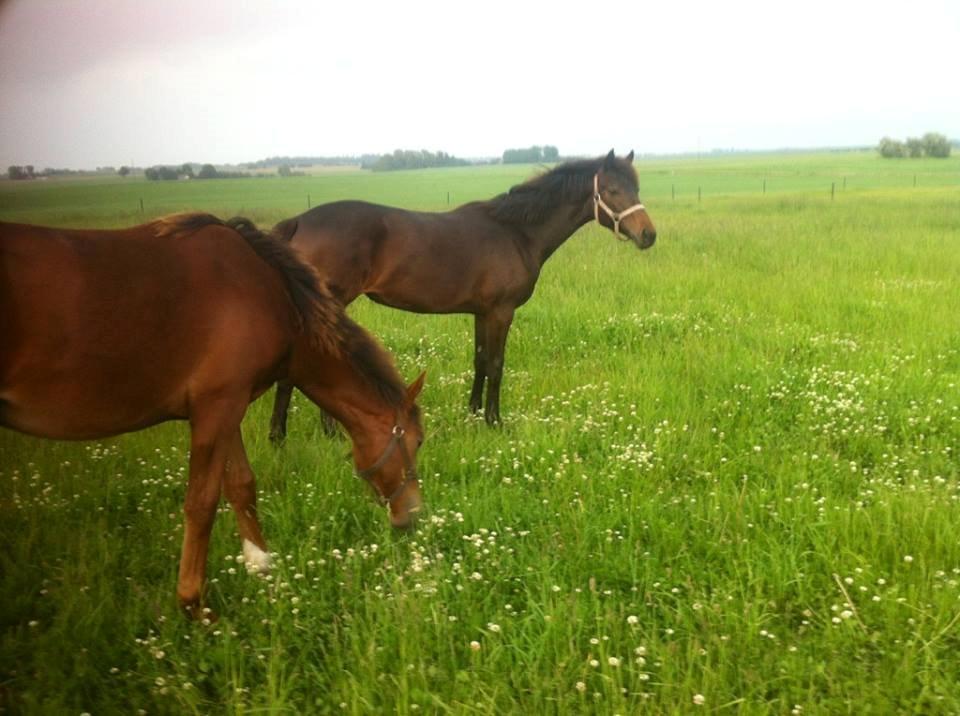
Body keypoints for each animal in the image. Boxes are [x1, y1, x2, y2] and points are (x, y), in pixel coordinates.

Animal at [0, 213, 428, 616]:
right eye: (418, 441)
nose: (413, 516)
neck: (268, 295)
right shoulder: (214, 408)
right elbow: (202, 503)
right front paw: (193, 604)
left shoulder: (227, 407)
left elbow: (241, 485)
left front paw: (261, 567)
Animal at [272, 148, 652, 436]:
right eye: (612, 190)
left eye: (636, 187)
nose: (649, 235)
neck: (515, 232)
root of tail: (299, 222)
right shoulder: (501, 311)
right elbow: (496, 364)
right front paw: (495, 421)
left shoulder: (482, 312)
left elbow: (480, 360)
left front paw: (472, 414)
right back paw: (309, 432)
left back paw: (287, 433)